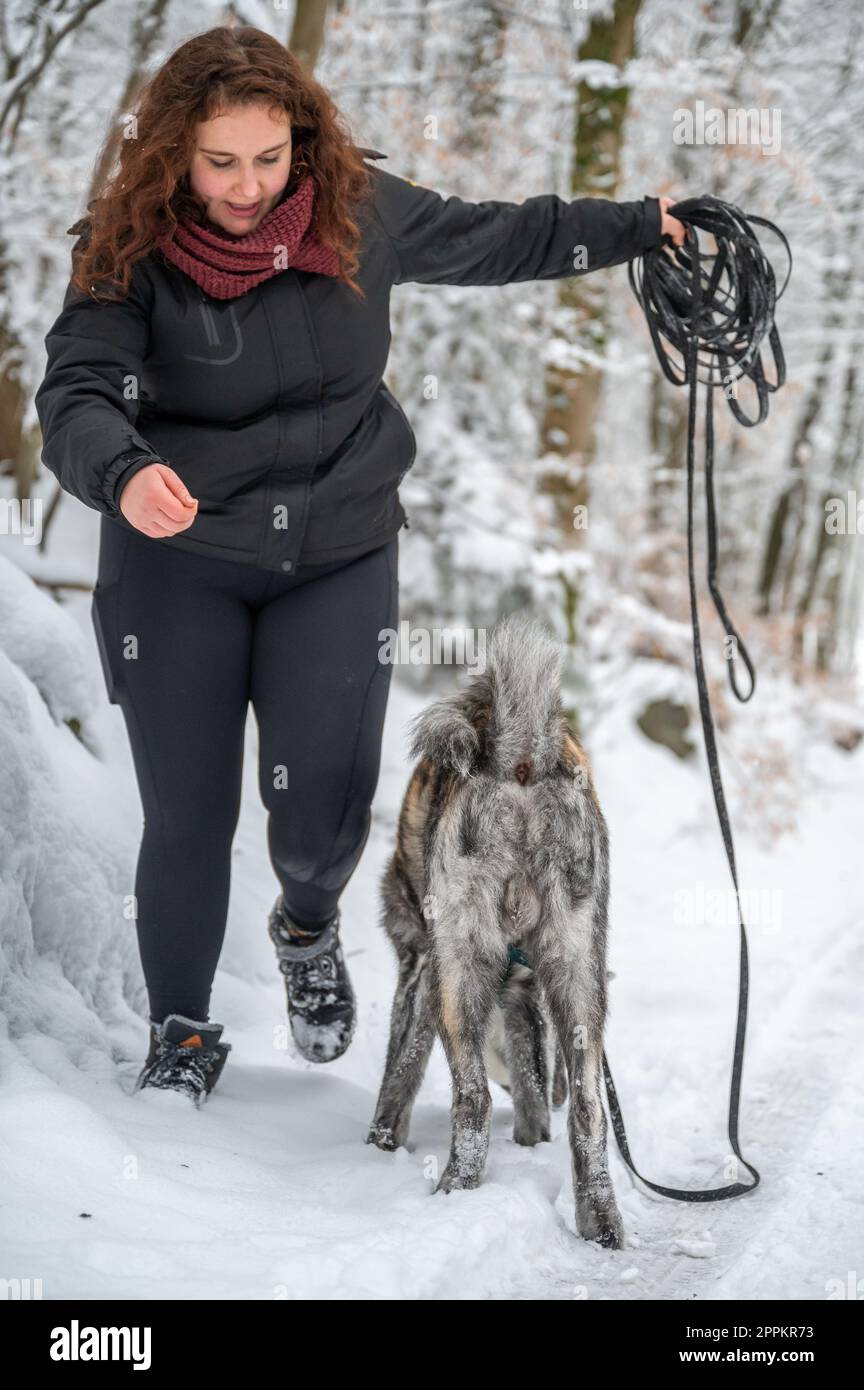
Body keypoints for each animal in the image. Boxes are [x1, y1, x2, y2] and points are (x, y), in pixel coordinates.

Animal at [369, 608, 625, 1251]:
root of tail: (523, 757)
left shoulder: (422, 973)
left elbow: (398, 1073)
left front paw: (380, 1143)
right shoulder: (525, 996)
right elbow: (535, 1087)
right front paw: (533, 1137)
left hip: (457, 975)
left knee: (473, 1098)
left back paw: (454, 1194)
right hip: (578, 975)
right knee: (588, 1109)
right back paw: (602, 1222)